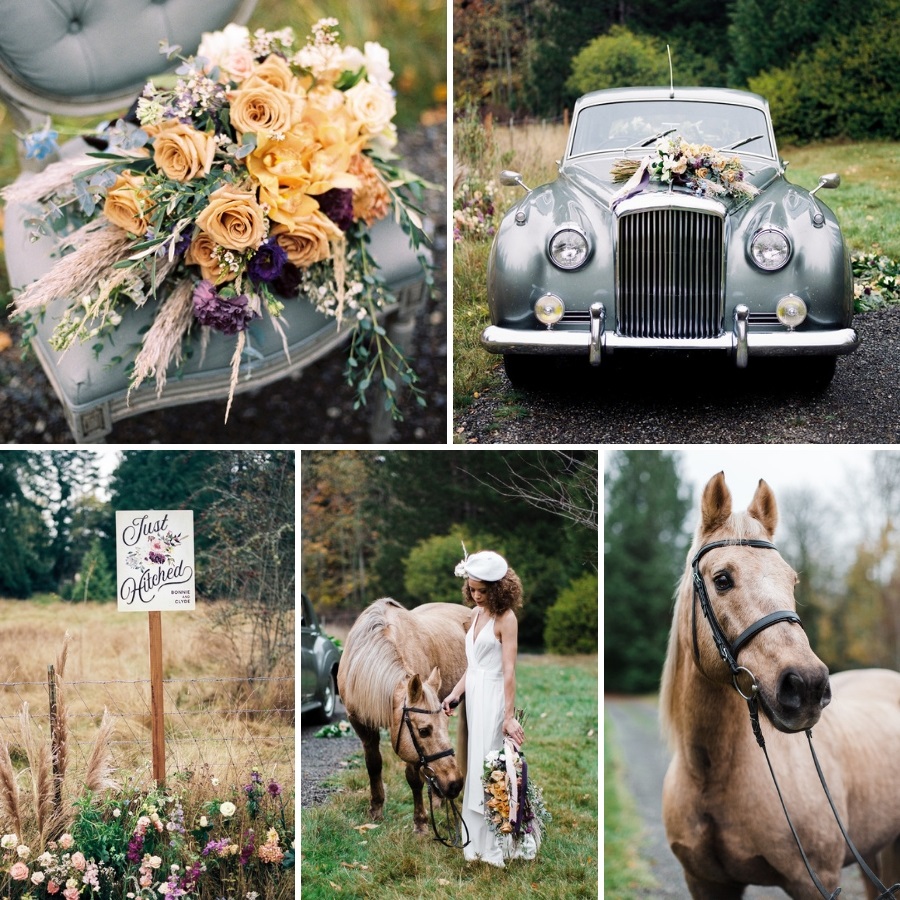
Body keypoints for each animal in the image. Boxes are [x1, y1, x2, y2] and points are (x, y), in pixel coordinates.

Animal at [338, 596, 472, 836]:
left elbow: (414, 778)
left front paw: (420, 822)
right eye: (424, 731)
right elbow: (373, 764)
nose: (455, 784)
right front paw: (376, 810)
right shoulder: (361, 723)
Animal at [660, 474, 900, 896]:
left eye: (792, 581)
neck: (711, 773)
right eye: (723, 579)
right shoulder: (705, 882)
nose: (807, 686)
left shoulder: (814, 882)